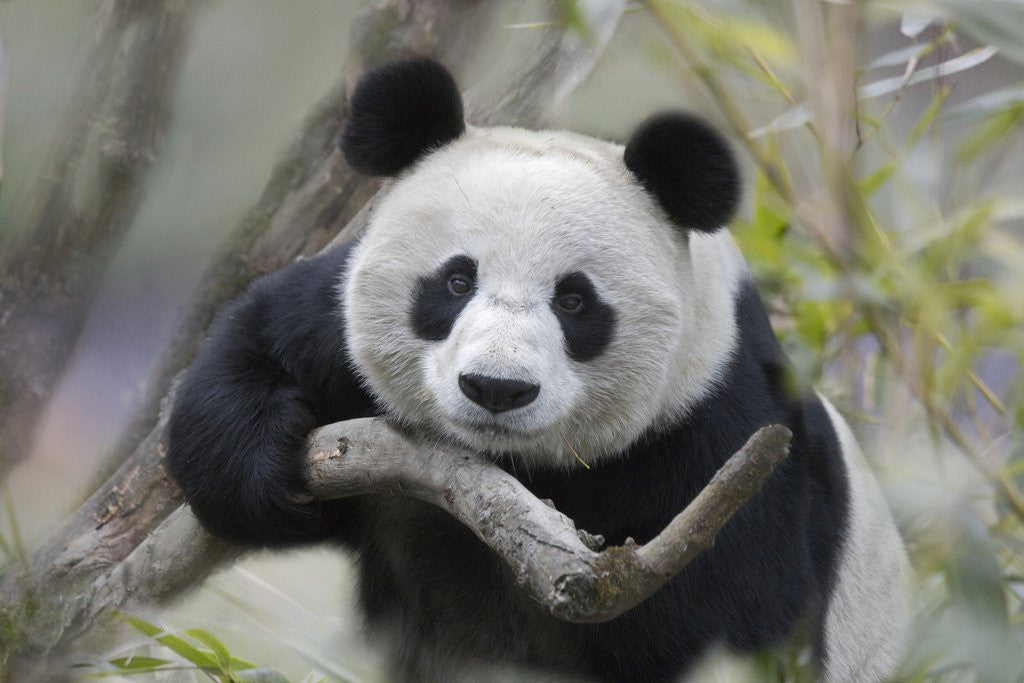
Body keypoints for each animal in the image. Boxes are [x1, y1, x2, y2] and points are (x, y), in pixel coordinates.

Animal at [167, 58, 911, 682]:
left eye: (575, 301)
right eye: (456, 280)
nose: (497, 388)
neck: (525, 468)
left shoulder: (725, 436)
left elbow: (735, 623)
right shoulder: (337, 335)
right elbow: (265, 333)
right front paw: (250, 471)